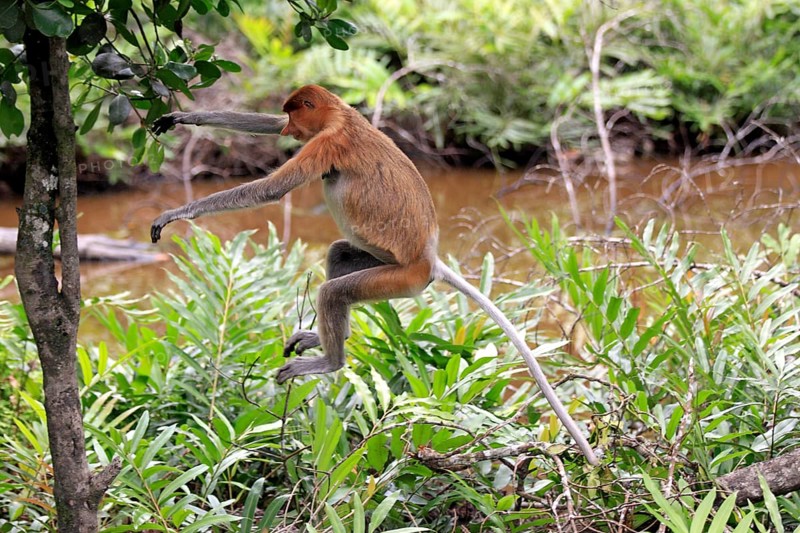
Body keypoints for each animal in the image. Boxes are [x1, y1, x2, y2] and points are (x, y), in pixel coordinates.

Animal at [151, 85, 599, 465]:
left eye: (296, 114)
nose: (292, 128)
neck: (342, 117)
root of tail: (429, 259)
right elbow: (264, 127)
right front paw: (185, 116)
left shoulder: (326, 144)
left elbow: (270, 190)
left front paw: (177, 212)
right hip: (378, 264)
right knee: (338, 254)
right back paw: (324, 338)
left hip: (401, 281)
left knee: (334, 293)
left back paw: (329, 360)